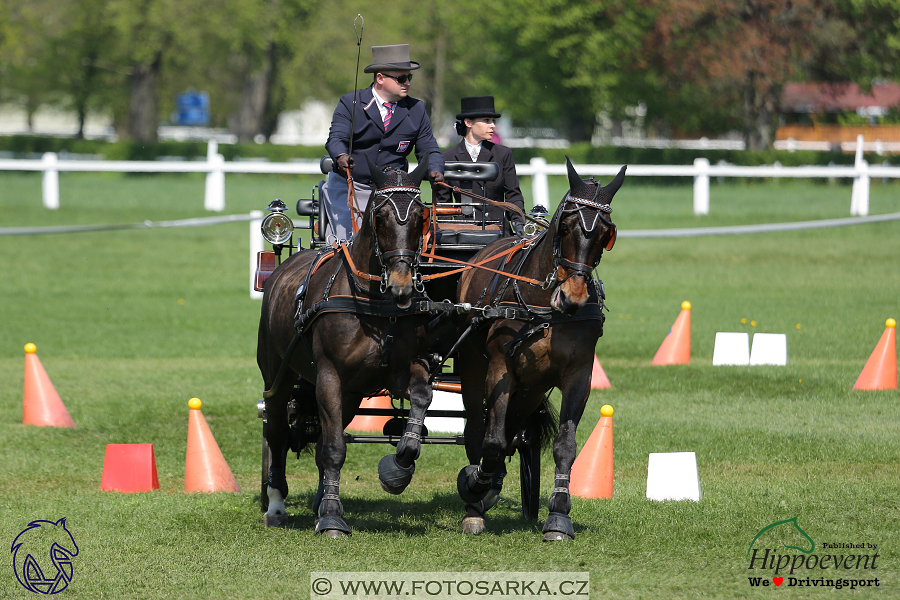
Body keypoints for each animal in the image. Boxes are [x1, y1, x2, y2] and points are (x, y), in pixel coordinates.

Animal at [255, 157, 438, 536]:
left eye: (421, 216)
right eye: (379, 216)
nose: (401, 283)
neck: (374, 302)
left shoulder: (400, 369)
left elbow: (421, 395)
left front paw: (399, 465)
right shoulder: (328, 376)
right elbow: (334, 448)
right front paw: (332, 518)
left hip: (351, 394)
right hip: (277, 374)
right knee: (277, 429)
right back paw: (277, 504)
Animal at [454, 157, 624, 540]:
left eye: (605, 234)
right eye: (566, 227)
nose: (573, 297)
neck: (545, 308)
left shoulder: (578, 376)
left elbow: (565, 446)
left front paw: (558, 515)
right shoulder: (500, 369)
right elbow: (491, 441)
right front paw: (474, 485)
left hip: (531, 389)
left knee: (513, 429)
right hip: (475, 369)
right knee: (478, 429)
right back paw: (475, 504)